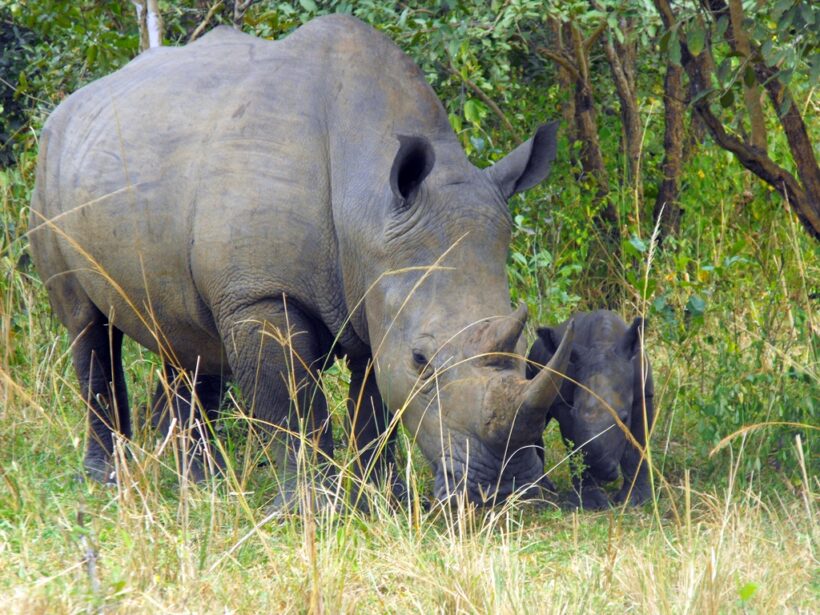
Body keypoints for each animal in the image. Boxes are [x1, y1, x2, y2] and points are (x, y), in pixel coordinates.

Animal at [28, 14, 572, 508]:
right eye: (422, 360)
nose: (506, 489)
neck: (367, 203)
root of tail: (67, 109)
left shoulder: (374, 288)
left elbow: (373, 407)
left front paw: (384, 502)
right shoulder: (260, 294)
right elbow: (293, 405)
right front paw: (310, 511)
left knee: (184, 335)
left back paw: (202, 489)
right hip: (48, 172)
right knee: (87, 327)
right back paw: (108, 481)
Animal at [528, 310, 656, 508]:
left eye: (624, 418)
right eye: (574, 414)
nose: (599, 470)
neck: (603, 343)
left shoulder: (643, 395)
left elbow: (637, 446)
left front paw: (636, 500)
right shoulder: (564, 404)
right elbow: (575, 445)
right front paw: (591, 503)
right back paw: (544, 487)